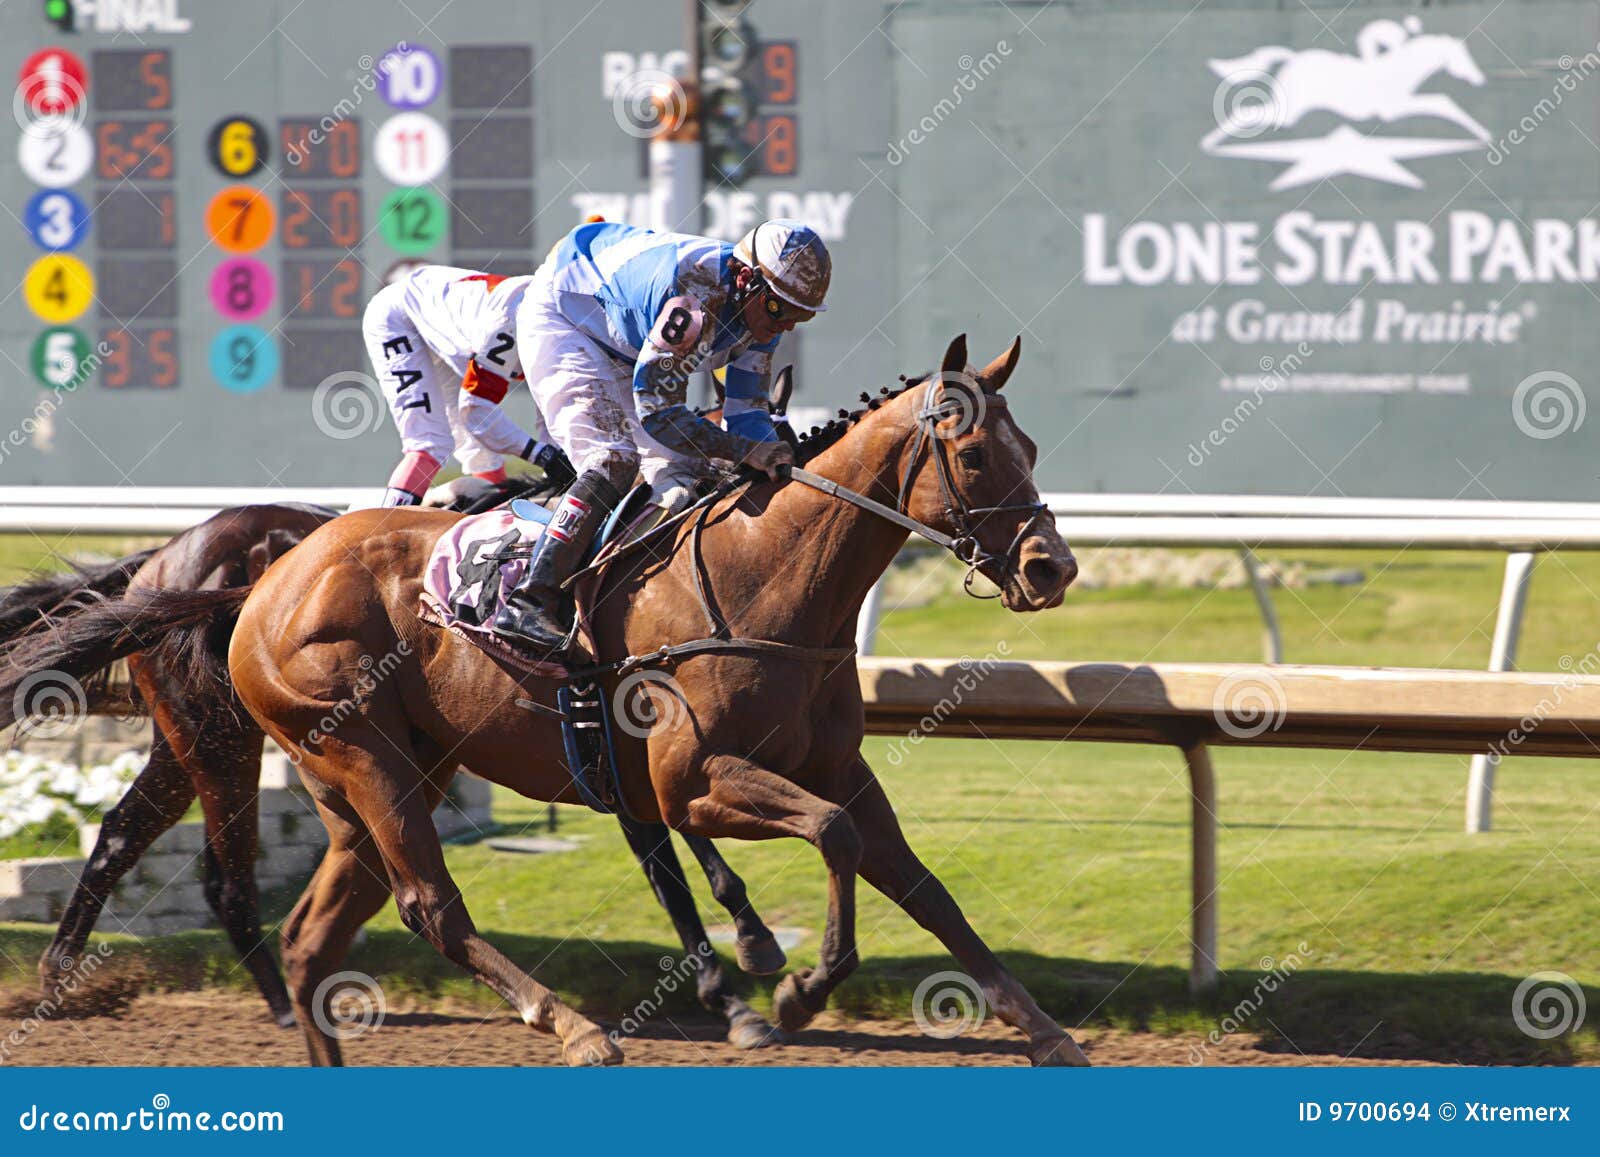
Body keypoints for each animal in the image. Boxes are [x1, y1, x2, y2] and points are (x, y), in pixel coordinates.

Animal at [0, 483, 785, 1048]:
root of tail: (161, 558)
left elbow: (698, 846)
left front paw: (747, 962)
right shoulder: (607, 752)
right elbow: (679, 870)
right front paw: (736, 990)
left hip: (189, 739)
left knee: (120, 832)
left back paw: (61, 974)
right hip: (223, 736)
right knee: (224, 876)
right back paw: (281, 1002)